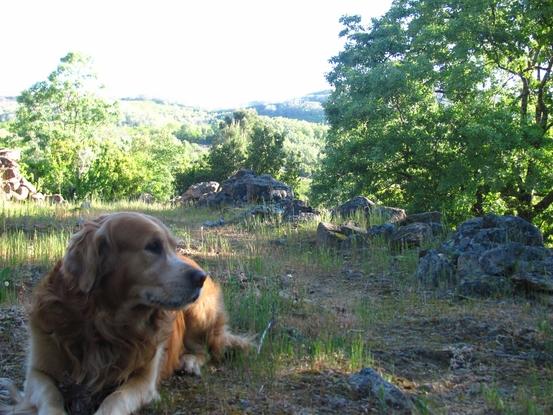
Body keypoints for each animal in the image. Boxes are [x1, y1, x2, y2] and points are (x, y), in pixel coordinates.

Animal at [0, 213, 250, 414]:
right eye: (153, 246)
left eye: (173, 247)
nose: (201, 277)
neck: (104, 324)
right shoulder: (37, 372)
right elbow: (51, 396)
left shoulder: (144, 379)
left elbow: (115, 399)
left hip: (199, 314)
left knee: (206, 350)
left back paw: (189, 362)